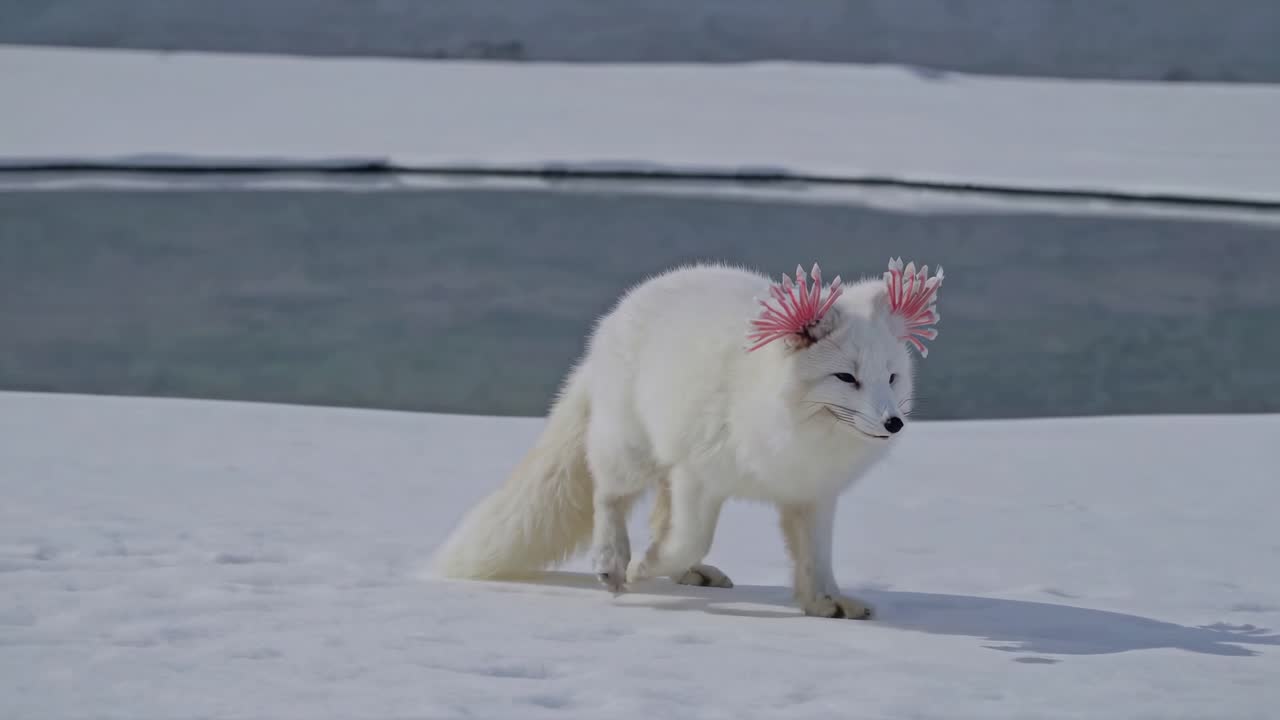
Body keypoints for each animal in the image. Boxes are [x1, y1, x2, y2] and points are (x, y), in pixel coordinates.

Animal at [432, 258, 944, 619]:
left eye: (892, 377)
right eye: (846, 377)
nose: (893, 423)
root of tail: (617, 316)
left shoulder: (813, 493)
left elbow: (815, 555)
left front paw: (825, 603)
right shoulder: (700, 475)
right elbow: (692, 537)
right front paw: (641, 567)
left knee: (659, 515)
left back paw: (687, 573)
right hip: (634, 447)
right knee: (608, 493)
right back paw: (615, 561)